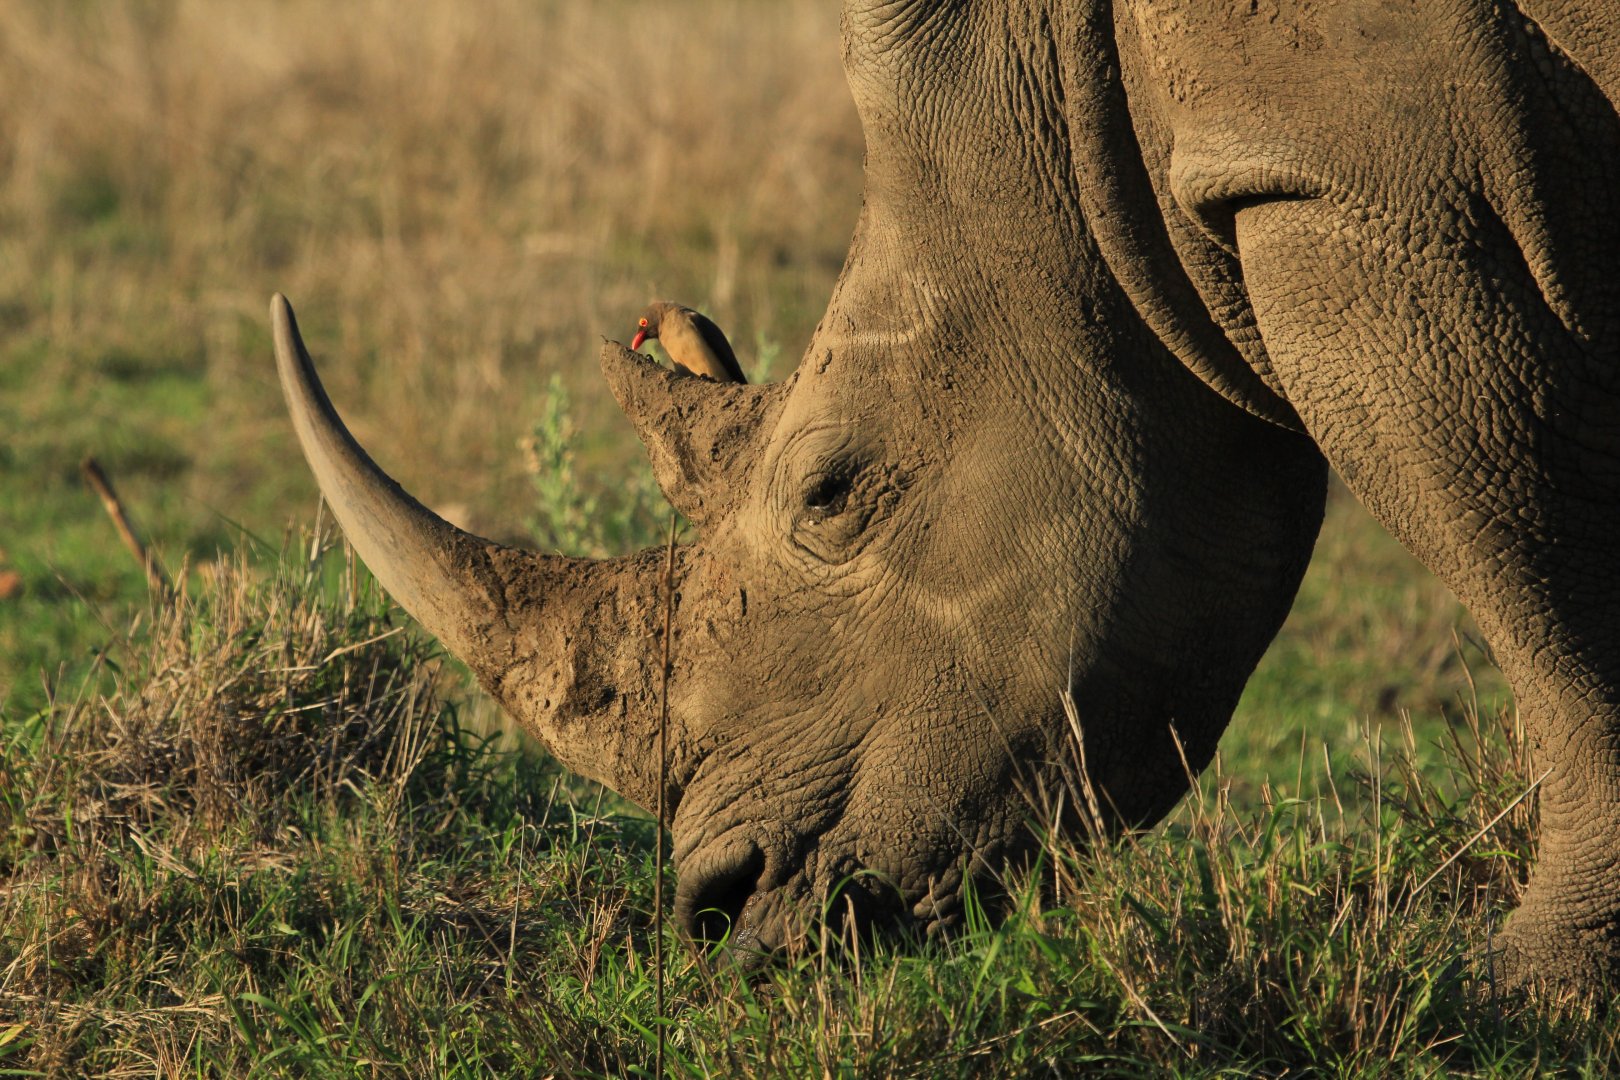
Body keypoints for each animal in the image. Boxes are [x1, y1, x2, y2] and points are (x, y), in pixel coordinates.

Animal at [273, 1, 1620, 992]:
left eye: (830, 495)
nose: (719, 912)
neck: (1065, 97)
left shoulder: (1353, 177)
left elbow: (1538, 592)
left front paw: (1537, 986)